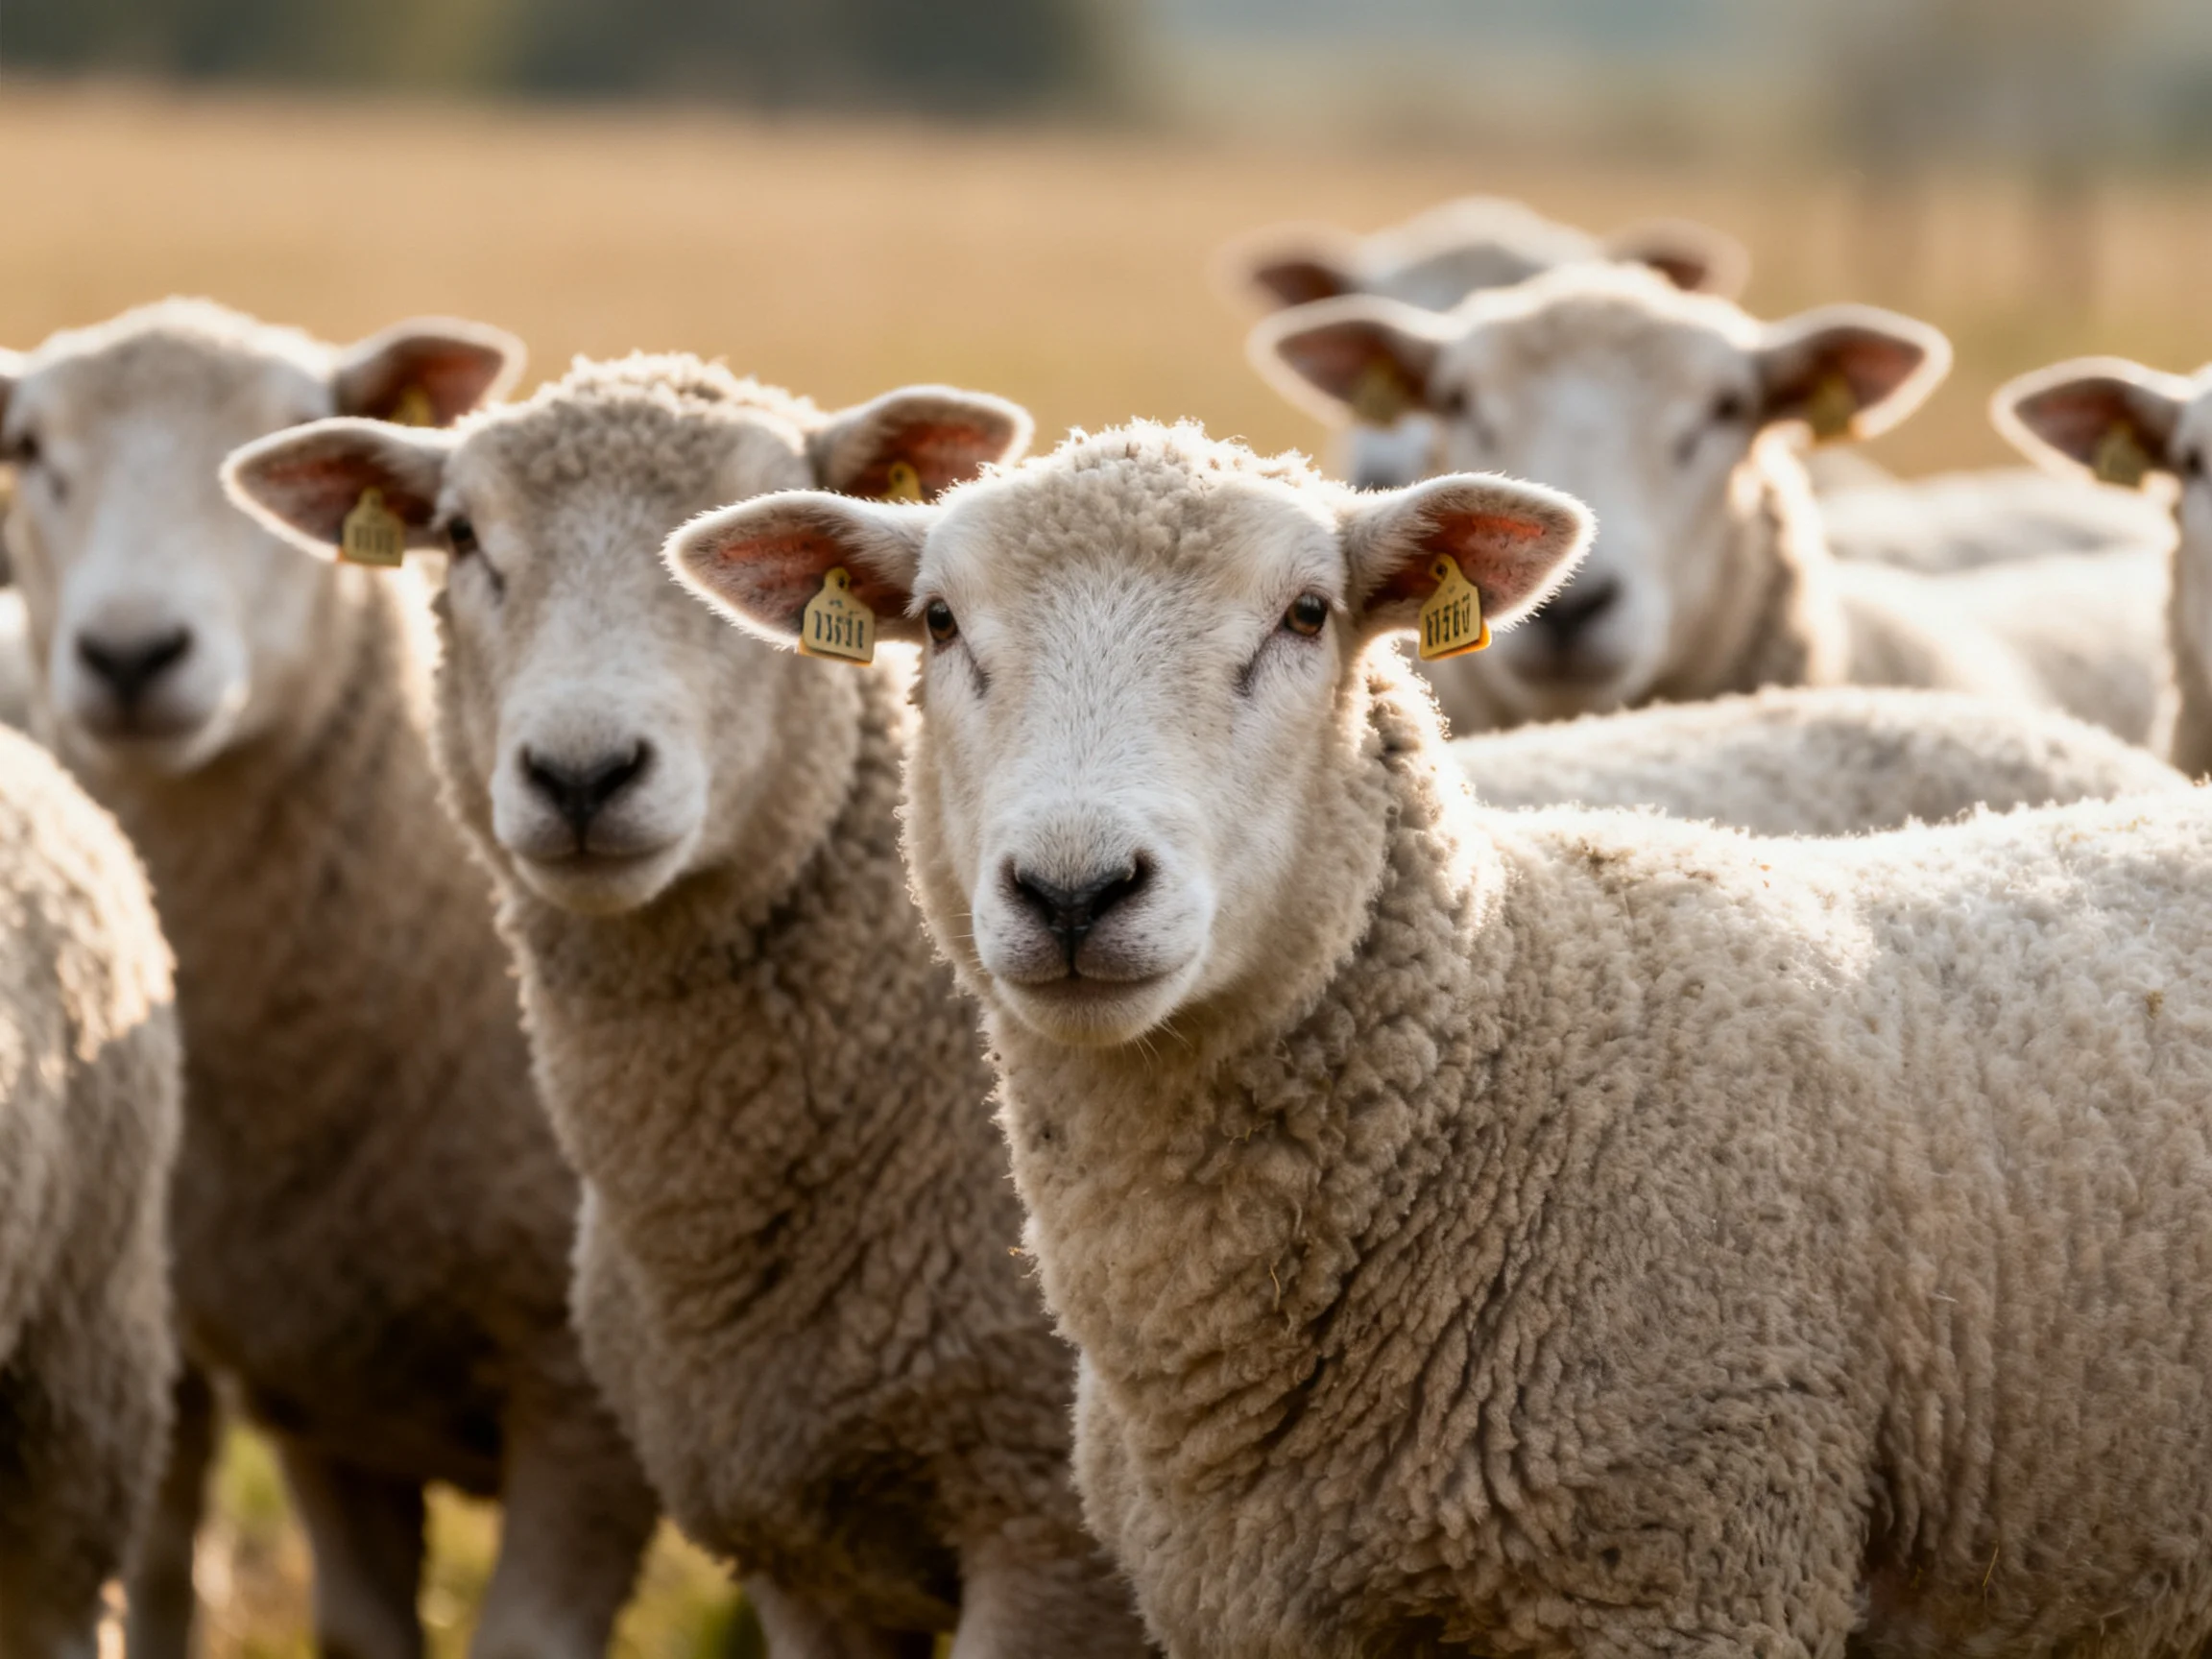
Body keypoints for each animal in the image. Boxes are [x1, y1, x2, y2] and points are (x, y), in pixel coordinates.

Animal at [0, 300, 658, 1659]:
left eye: (285, 430)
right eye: (28, 448)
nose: (131, 656)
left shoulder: (581, 1404)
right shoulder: (319, 1379)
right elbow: (352, 1630)